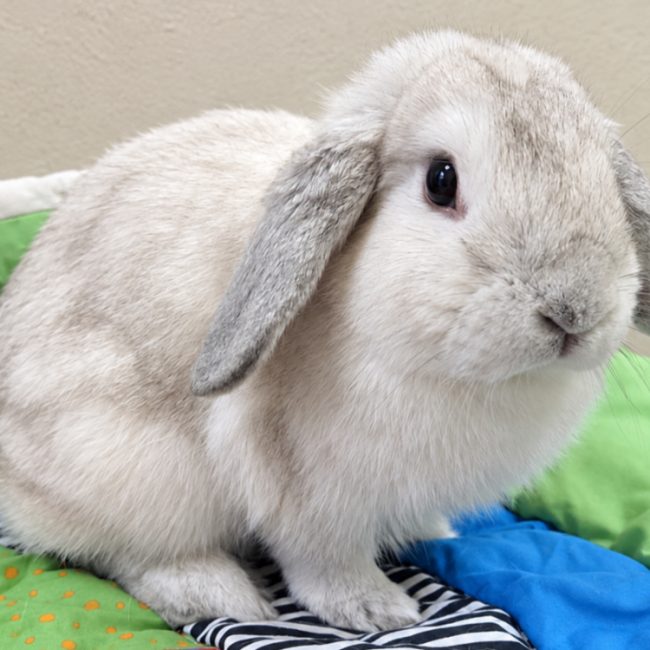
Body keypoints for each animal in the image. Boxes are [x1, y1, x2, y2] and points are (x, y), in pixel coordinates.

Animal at [1, 30, 649, 633]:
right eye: (441, 180)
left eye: (605, 178)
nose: (574, 311)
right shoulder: (305, 494)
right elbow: (321, 563)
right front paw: (376, 610)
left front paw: (435, 531)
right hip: (122, 465)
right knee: (119, 551)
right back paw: (216, 593)